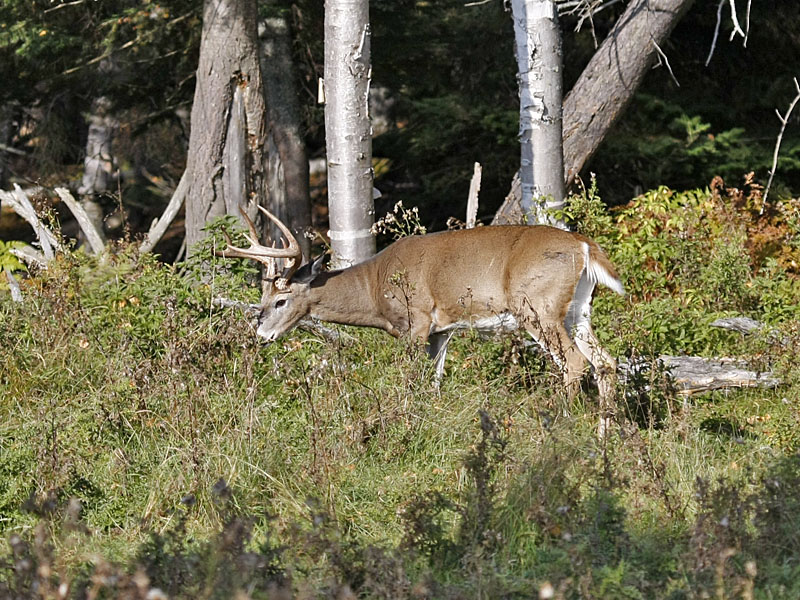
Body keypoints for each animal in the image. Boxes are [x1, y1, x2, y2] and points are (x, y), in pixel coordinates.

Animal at [217, 205, 624, 410]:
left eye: (280, 300)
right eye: (262, 299)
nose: (260, 332)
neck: (375, 287)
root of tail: (584, 246)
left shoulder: (415, 321)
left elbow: (409, 381)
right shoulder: (440, 331)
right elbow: (435, 382)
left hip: (538, 306)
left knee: (575, 363)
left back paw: (562, 427)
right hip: (577, 310)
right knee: (606, 362)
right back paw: (606, 438)